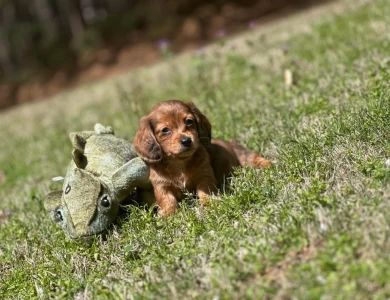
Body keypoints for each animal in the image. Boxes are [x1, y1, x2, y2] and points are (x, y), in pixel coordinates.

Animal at [134, 101, 272, 216]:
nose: (186, 141)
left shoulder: (204, 176)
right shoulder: (161, 185)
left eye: (189, 121)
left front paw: (210, 203)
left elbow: (205, 191)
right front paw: (168, 214)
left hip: (246, 159)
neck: (179, 163)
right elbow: (166, 199)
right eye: (165, 130)